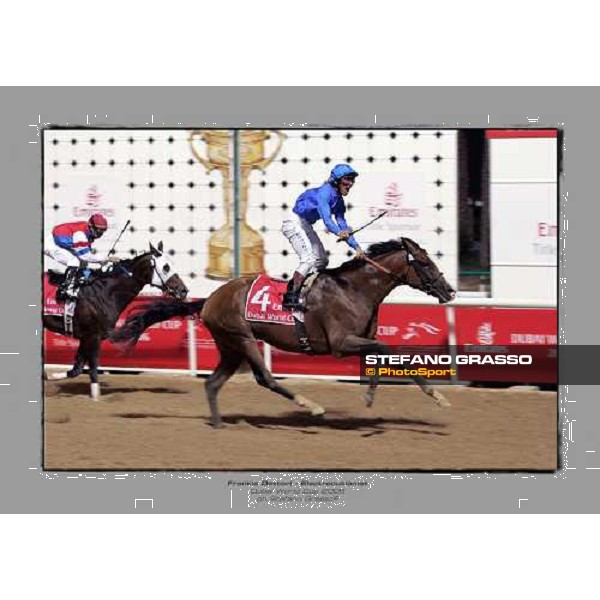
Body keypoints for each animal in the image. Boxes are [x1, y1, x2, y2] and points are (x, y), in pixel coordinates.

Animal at [44, 241, 188, 400]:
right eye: (166, 267)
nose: (183, 290)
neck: (104, 293)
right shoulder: (93, 336)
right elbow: (92, 367)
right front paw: (96, 397)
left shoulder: (86, 337)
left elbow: (77, 368)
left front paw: (50, 377)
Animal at [113, 237, 454, 428]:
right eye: (424, 262)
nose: (449, 290)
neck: (354, 288)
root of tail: (209, 299)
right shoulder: (341, 343)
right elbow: (389, 350)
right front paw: (435, 395)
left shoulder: (361, 339)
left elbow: (382, 355)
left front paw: (373, 395)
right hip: (243, 338)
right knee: (265, 378)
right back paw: (310, 405)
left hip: (230, 347)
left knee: (212, 383)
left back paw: (220, 425)